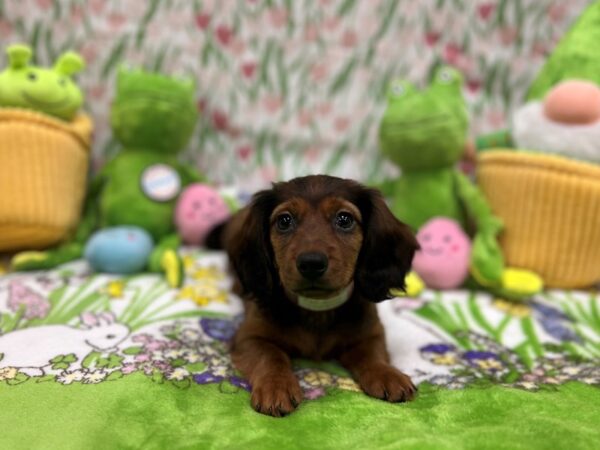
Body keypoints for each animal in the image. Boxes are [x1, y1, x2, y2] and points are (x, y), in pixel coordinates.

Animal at [210, 174, 418, 416]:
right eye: (284, 221)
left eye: (344, 219)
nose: (311, 263)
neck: (317, 308)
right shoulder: (249, 336)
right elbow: (270, 356)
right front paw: (276, 386)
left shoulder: (371, 333)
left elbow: (372, 355)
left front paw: (388, 374)